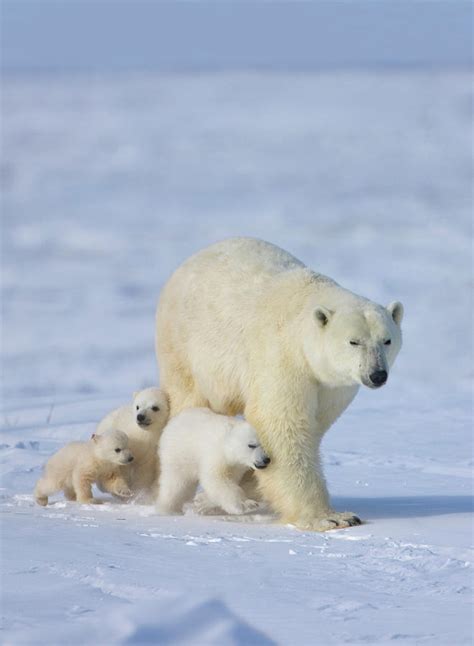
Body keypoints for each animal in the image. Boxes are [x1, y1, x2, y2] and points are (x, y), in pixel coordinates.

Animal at [156, 238, 404, 532]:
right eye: (354, 341)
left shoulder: (332, 386)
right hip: (186, 347)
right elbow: (282, 423)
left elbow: (313, 425)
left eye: (387, 340)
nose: (377, 375)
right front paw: (331, 517)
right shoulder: (282, 358)